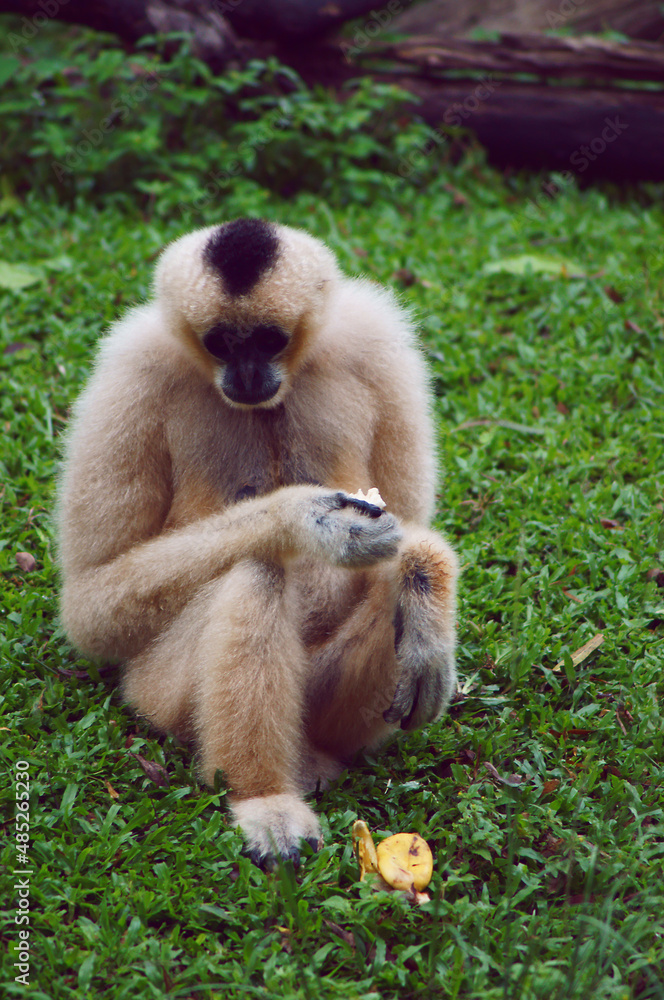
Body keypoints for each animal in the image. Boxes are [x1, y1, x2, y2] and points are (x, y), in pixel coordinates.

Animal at [56, 218, 459, 866]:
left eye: (269, 340)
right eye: (221, 343)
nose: (246, 373)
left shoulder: (378, 344)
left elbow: (406, 527)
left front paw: (423, 585)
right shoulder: (130, 372)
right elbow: (91, 604)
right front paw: (306, 519)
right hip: (157, 692)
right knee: (257, 570)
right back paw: (264, 798)